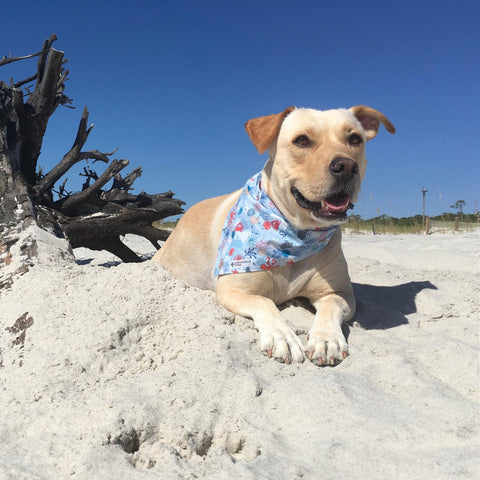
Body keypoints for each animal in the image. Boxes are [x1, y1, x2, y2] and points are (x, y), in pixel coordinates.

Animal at [156, 107, 396, 366]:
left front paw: (326, 339)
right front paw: (283, 337)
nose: (347, 166)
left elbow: (331, 306)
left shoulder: (339, 293)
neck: (294, 234)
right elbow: (264, 300)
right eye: (301, 140)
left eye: (355, 139)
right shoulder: (232, 290)